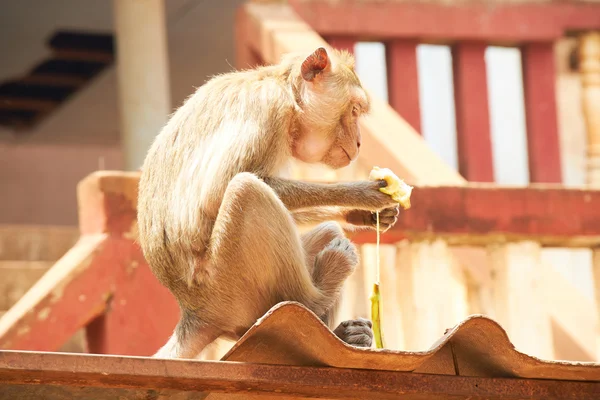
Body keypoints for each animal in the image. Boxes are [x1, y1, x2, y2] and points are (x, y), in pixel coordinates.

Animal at [138, 45, 400, 358]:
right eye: (354, 110)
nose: (359, 142)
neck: (286, 92)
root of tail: (193, 310)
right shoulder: (269, 111)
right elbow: (219, 191)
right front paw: (363, 195)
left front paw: (358, 214)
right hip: (228, 287)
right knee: (247, 189)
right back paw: (317, 295)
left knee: (326, 231)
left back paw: (342, 333)